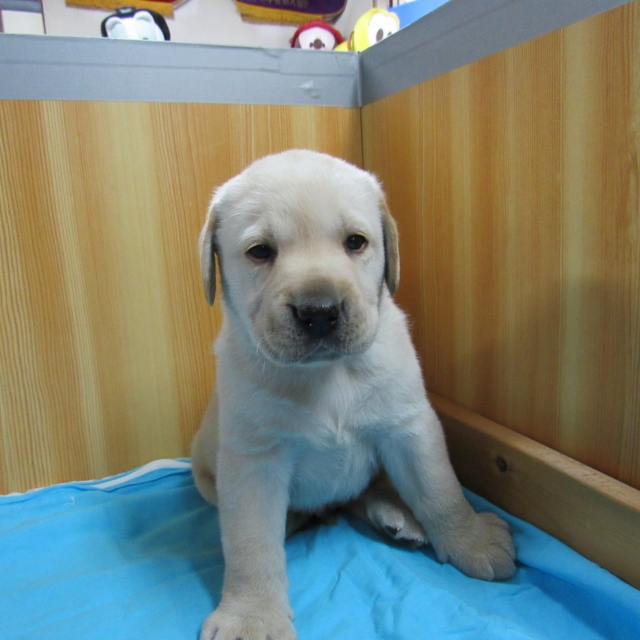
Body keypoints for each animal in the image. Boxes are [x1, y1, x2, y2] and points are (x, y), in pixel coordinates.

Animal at [191, 150, 516, 640]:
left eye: (356, 242)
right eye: (260, 251)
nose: (319, 311)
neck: (329, 374)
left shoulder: (409, 427)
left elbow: (441, 490)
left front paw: (472, 540)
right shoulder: (253, 462)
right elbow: (251, 544)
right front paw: (251, 615)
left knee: (368, 491)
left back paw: (397, 516)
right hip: (205, 475)